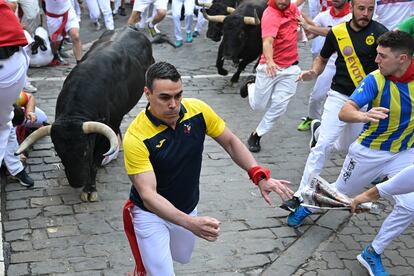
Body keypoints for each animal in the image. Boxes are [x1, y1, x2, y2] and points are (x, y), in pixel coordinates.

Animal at [16, 26, 155, 201]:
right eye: (59, 152)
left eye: (85, 151)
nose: (76, 182)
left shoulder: (106, 133)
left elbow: (95, 162)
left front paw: (90, 190)